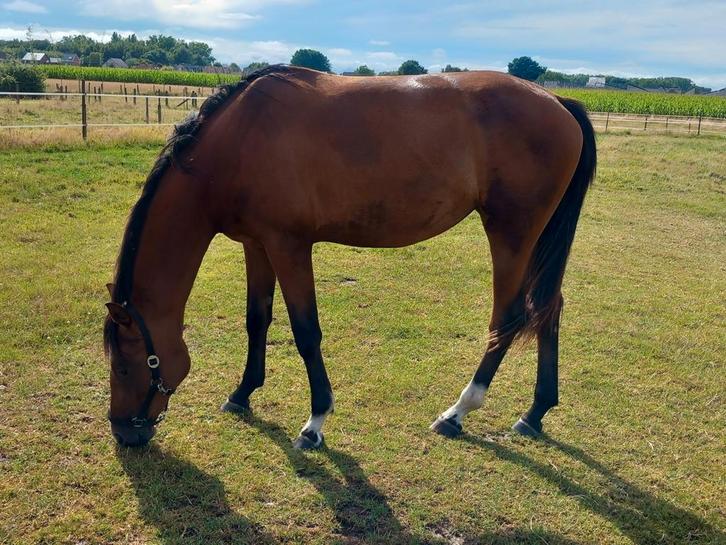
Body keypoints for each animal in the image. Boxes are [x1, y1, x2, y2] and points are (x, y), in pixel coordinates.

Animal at [104, 65, 596, 449]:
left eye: (125, 365)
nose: (125, 433)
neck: (238, 140)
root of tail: (557, 100)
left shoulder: (288, 246)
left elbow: (305, 332)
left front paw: (315, 422)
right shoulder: (256, 244)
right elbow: (256, 320)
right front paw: (242, 394)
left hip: (511, 234)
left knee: (508, 317)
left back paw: (457, 412)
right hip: (535, 240)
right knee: (549, 309)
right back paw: (534, 413)